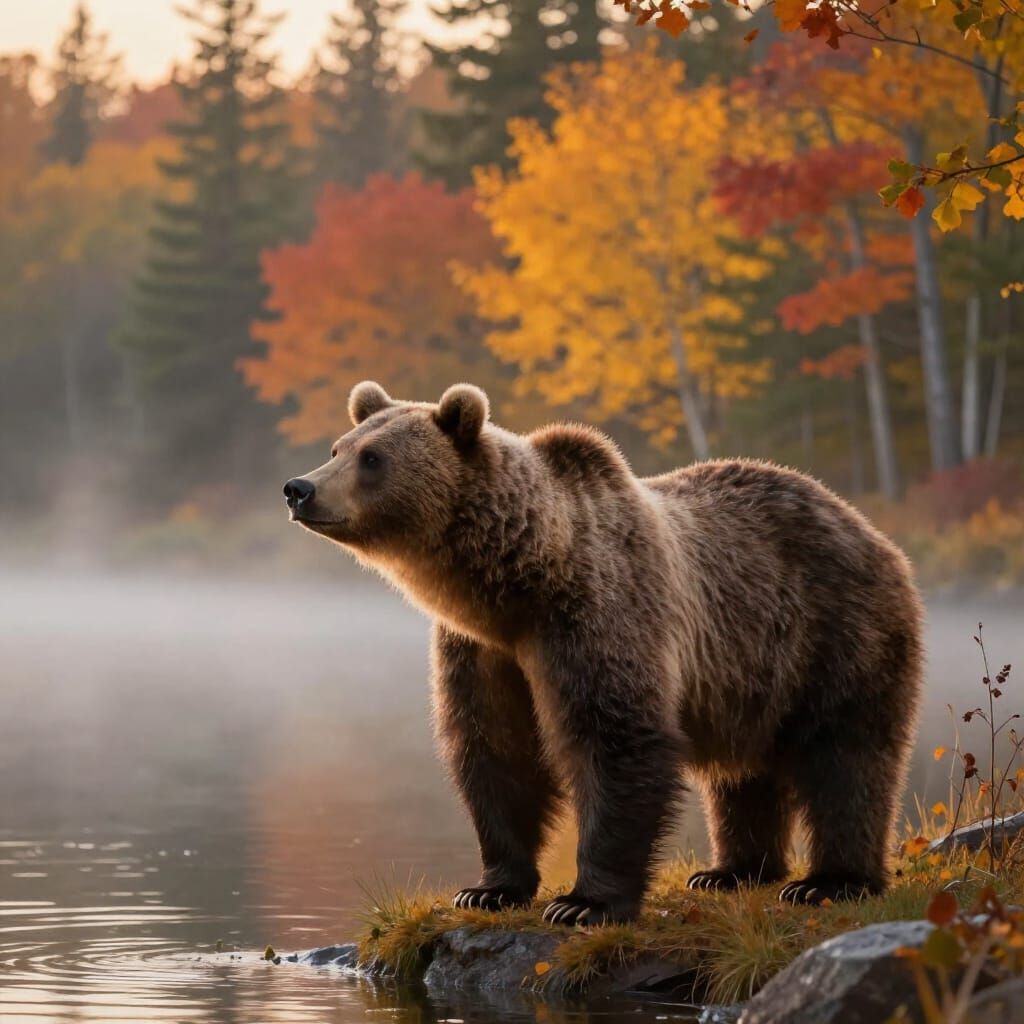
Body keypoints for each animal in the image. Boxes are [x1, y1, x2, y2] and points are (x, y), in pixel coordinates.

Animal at [283, 381, 924, 924]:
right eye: (339, 447)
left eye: (372, 458)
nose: (299, 488)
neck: (517, 584)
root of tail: (868, 528)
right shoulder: (481, 651)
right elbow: (495, 749)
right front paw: (490, 888)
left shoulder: (596, 615)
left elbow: (614, 738)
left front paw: (583, 902)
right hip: (749, 674)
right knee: (744, 772)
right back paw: (732, 871)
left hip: (835, 630)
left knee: (846, 753)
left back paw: (830, 881)